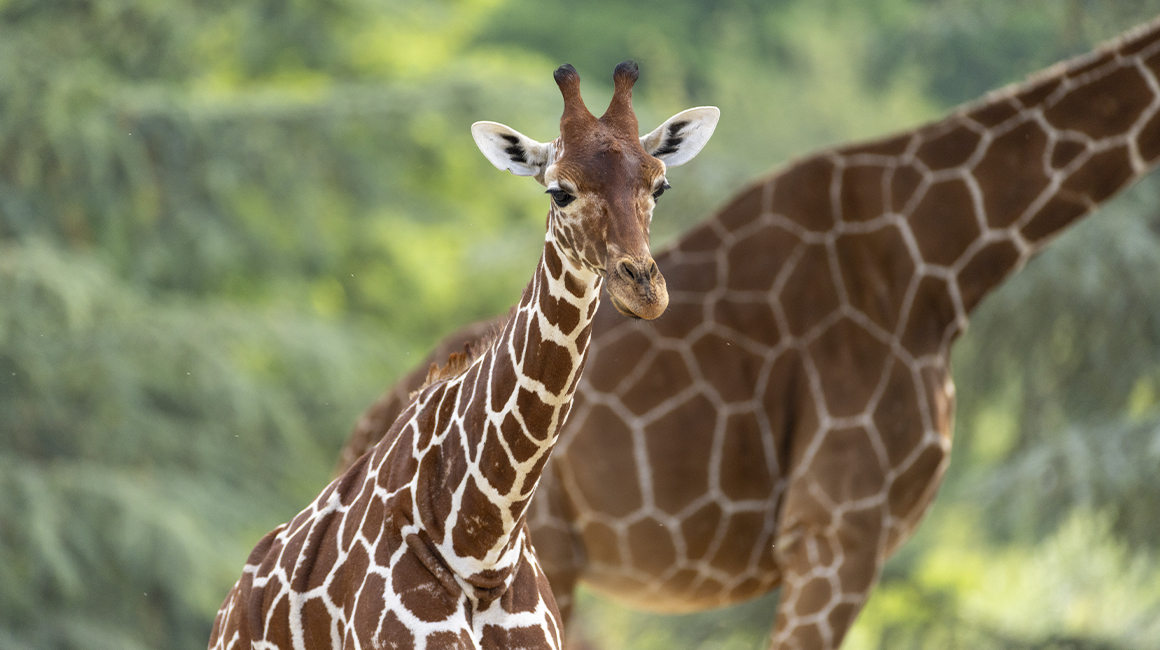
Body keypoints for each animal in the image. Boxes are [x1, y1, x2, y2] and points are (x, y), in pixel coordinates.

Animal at [334, 17, 1160, 650]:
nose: (642, 287)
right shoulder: (834, 532)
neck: (940, 264)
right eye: (559, 190)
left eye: (662, 184)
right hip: (555, 562)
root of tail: (365, 431)